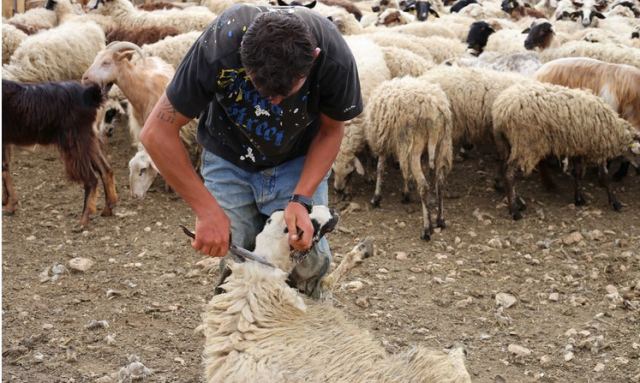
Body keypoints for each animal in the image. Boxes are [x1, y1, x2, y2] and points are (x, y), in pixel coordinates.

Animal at [202, 207, 472, 383]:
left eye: (272, 220)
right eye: (306, 226)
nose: (331, 212)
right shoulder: (319, 305)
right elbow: (329, 282)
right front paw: (360, 252)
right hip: (427, 364)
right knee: (457, 367)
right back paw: (458, 350)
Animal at [364, 77, 456, 240]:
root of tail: (434, 108)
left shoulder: (385, 142)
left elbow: (381, 169)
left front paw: (376, 198)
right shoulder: (403, 146)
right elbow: (405, 173)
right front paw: (406, 193)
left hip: (415, 148)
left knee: (424, 186)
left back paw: (426, 229)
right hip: (443, 145)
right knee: (440, 182)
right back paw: (440, 220)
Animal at [490, 82, 640, 219]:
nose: (639, 171)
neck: (615, 131)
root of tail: (501, 110)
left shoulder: (579, 148)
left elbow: (578, 173)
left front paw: (579, 198)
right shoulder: (597, 148)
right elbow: (604, 177)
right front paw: (615, 202)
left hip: (507, 143)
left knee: (504, 168)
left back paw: (517, 201)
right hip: (525, 143)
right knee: (509, 174)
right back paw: (514, 211)